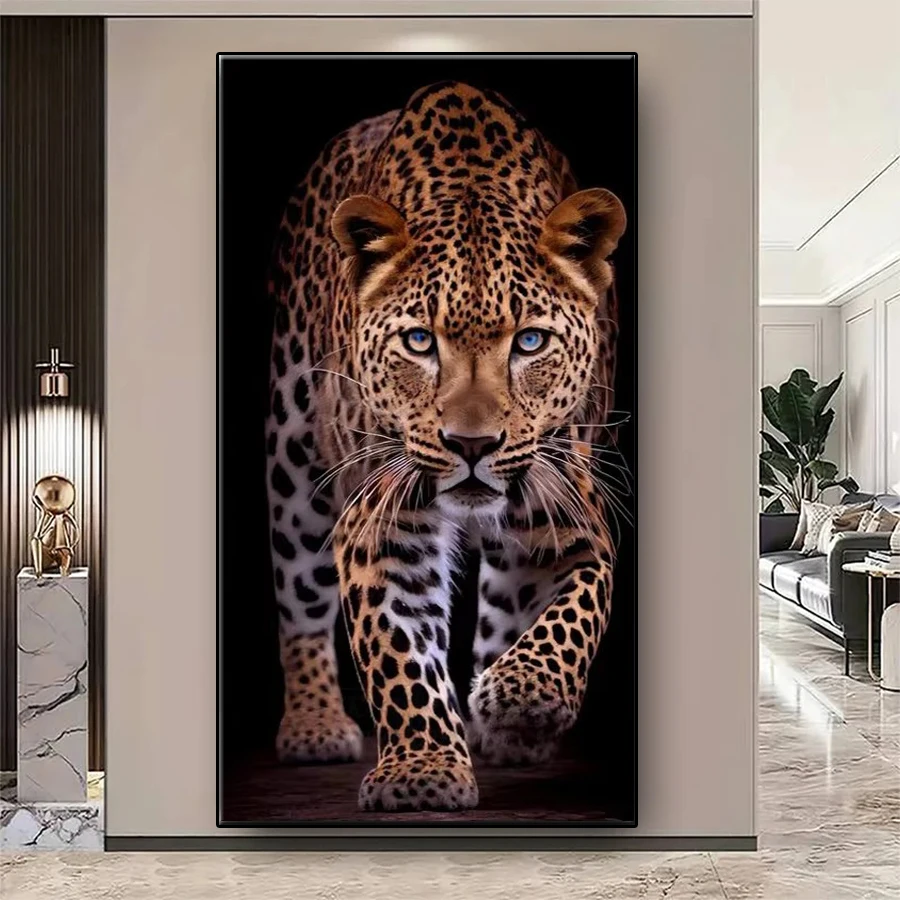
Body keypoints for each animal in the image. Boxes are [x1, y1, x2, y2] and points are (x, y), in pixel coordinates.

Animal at [264, 80, 628, 812]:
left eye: (531, 341)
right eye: (419, 341)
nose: (471, 444)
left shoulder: (573, 514)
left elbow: (576, 609)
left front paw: (524, 695)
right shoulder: (385, 520)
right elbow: (399, 649)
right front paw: (423, 771)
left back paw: (505, 720)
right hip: (292, 466)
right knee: (300, 599)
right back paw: (315, 724)